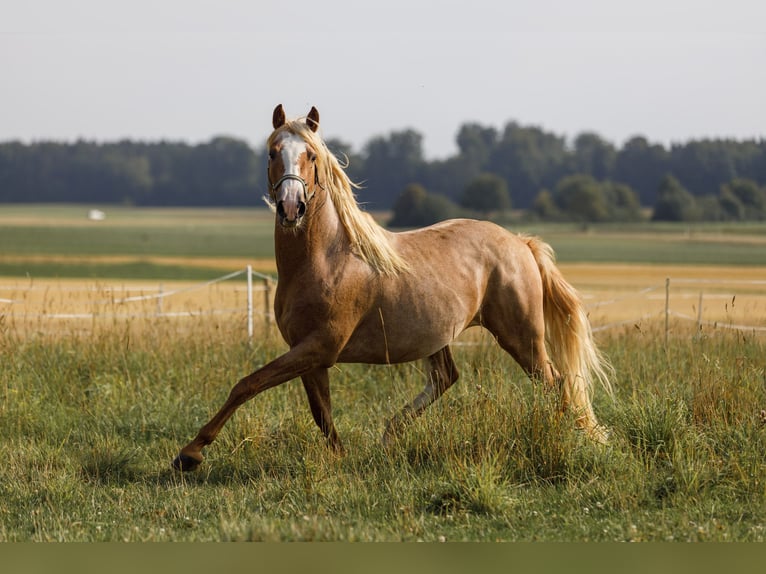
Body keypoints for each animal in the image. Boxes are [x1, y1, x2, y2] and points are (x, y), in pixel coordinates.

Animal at [172, 105, 613, 471]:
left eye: (311, 155)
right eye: (272, 152)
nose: (291, 207)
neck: (322, 260)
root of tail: (520, 242)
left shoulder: (319, 347)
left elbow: (247, 384)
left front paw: (189, 454)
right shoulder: (311, 355)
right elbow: (321, 414)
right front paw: (342, 459)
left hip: (521, 335)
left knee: (555, 383)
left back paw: (557, 438)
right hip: (439, 337)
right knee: (447, 378)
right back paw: (389, 436)